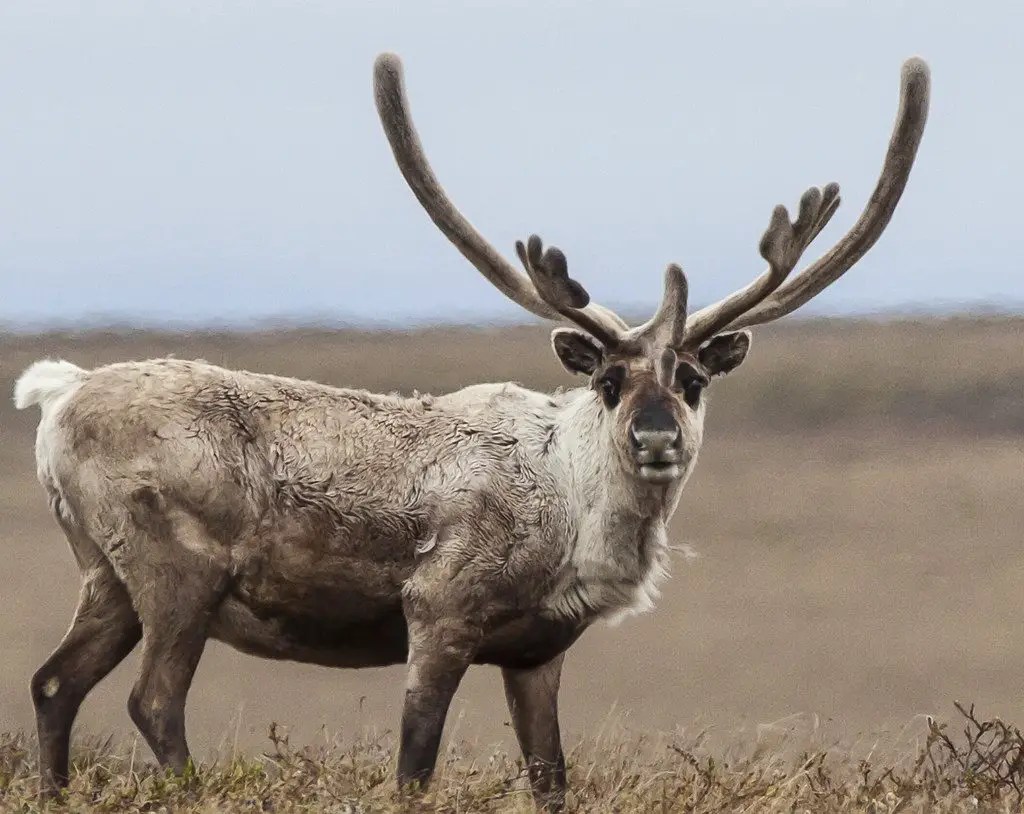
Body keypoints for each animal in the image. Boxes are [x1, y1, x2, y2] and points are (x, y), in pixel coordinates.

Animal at [13, 52, 929, 807]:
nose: (656, 440)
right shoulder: (439, 615)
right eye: (606, 379)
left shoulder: (537, 652)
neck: (571, 504)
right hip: (178, 576)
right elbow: (414, 765)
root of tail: (59, 398)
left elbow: (551, 776)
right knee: (152, 701)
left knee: (55, 685)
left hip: (105, 577)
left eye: (694, 380)